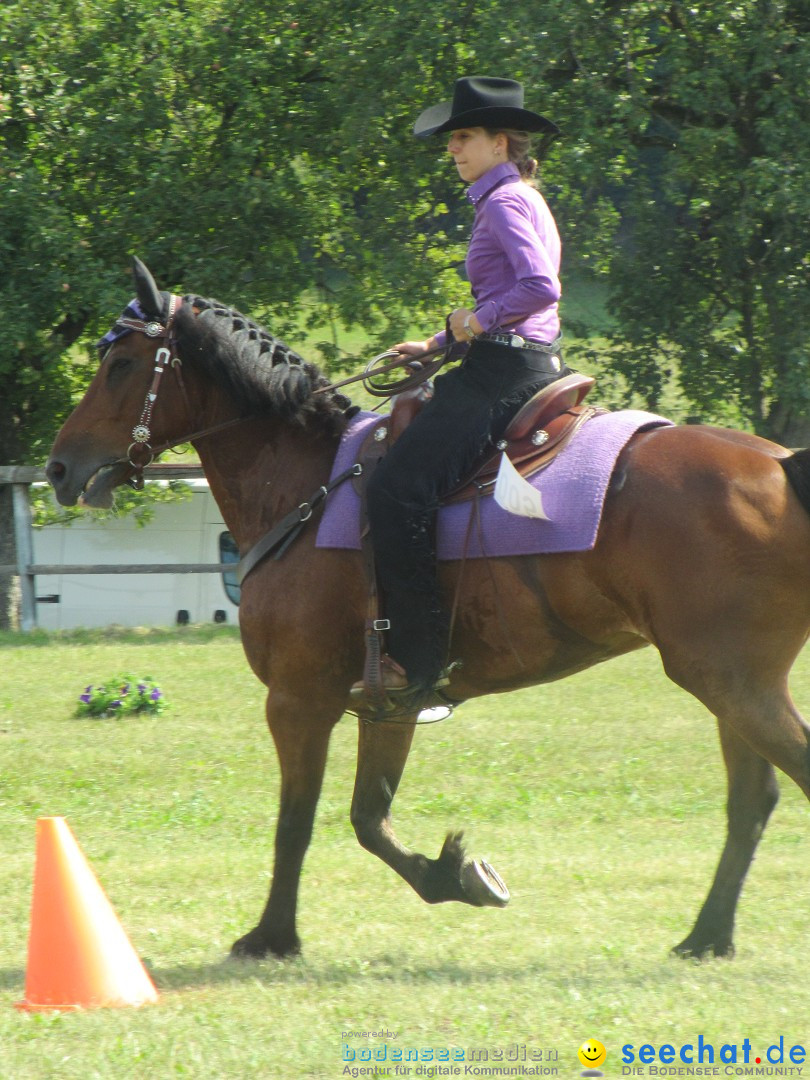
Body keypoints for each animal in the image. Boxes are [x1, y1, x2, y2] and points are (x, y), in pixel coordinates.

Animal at [45, 257, 810, 959]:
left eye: (119, 363)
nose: (57, 467)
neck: (306, 484)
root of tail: (780, 465)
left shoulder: (299, 699)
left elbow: (297, 822)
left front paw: (271, 937)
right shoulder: (391, 701)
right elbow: (369, 819)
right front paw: (460, 877)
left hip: (729, 680)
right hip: (730, 685)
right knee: (753, 802)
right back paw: (706, 936)